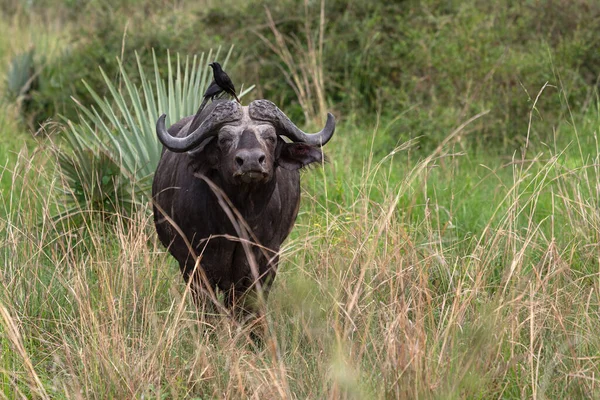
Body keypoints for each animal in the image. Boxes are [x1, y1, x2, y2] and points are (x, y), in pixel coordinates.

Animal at [152, 99, 336, 316]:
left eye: (271, 137)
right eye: (224, 139)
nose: (251, 161)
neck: (237, 220)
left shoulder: (266, 262)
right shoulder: (193, 265)